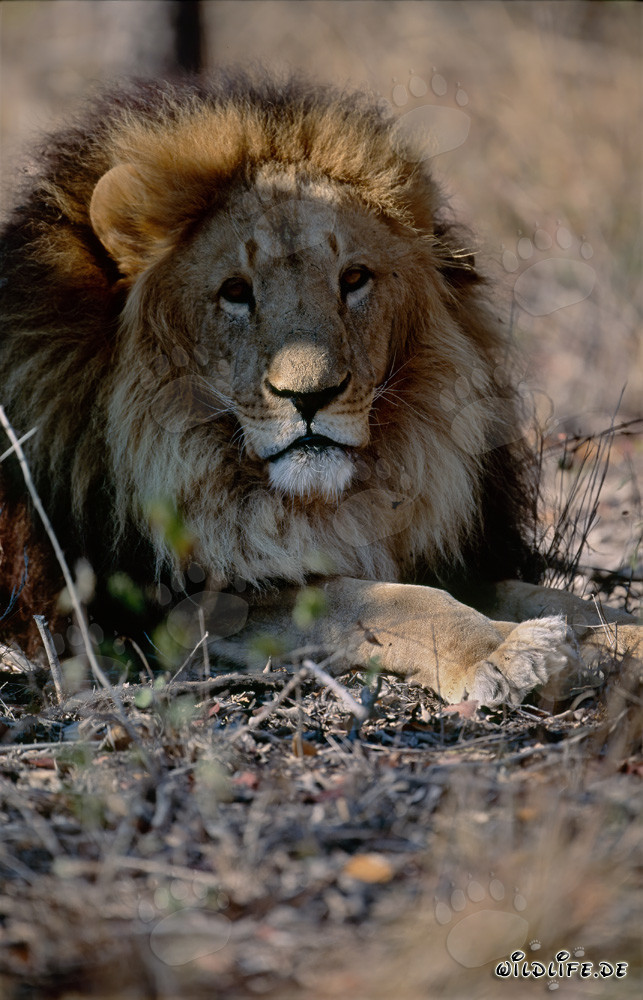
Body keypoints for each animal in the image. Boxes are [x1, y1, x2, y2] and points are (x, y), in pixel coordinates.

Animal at [0, 74, 639, 704]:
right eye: (236, 292)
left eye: (353, 279)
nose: (309, 397)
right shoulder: (175, 608)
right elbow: (372, 598)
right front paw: (506, 650)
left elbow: (555, 598)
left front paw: (618, 635)